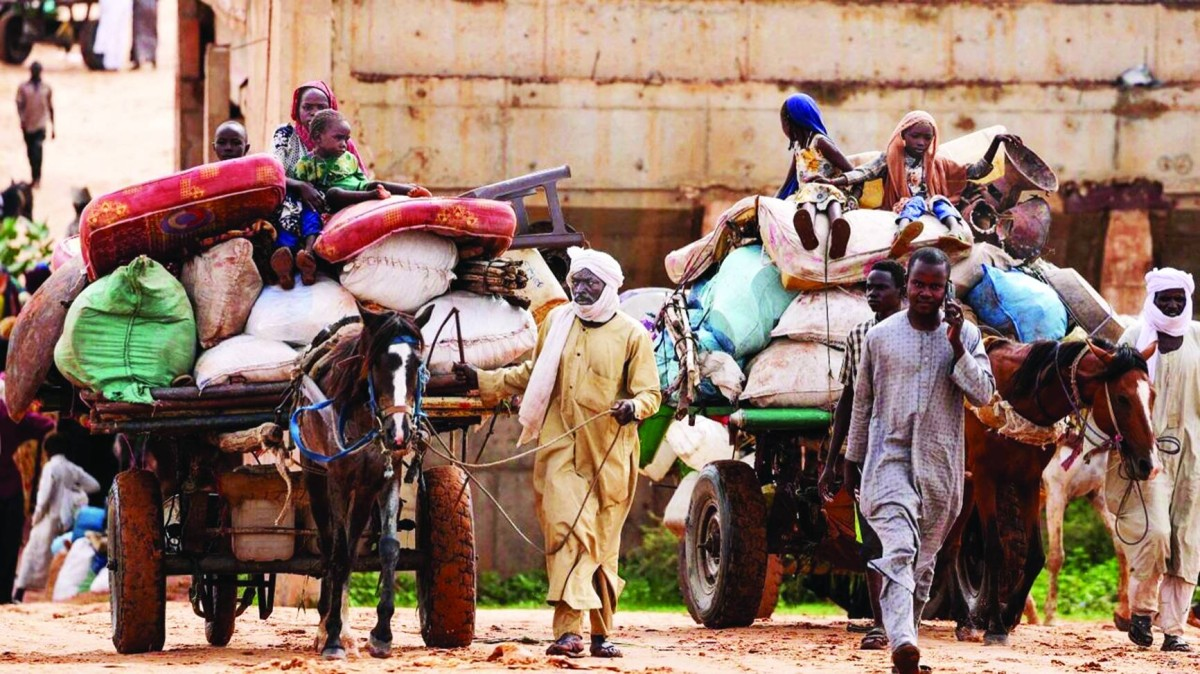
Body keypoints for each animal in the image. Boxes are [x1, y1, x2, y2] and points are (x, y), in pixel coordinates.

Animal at [290, 305, 432, 657]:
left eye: (416, 364)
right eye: (378, 361)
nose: (399, 433)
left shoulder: (385, 477)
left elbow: (388, 547)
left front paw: (381, 634)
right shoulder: (338, 479)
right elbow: (338, 553)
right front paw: (331, 637)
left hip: (364, 490)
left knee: (352, 544)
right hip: (316, 477)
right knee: (330, 545)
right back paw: (326, 626)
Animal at [945, 338, 1152, 642]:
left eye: (1152, 396)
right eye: (1122, 398)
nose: (1146, 462)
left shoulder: (1040, 484)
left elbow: (1041, 555)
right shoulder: (1010, 481)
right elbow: (1006, 551)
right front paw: (1004, 624)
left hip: (966, 484)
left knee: (952, 544)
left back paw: (967, 619)